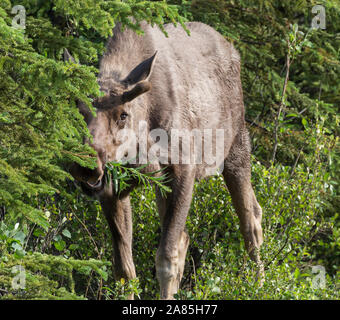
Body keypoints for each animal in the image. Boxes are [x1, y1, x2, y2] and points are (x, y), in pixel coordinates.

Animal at [67, 22, 264, 300]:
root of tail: (233, 51)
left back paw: (258, 285)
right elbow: (125, 270)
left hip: (236, 149)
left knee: (251, 220)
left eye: (123, 115)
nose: (85, 165)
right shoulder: (112, 189)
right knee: (185, 237)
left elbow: (166, 260)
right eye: (78, 109)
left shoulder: (183, 170)